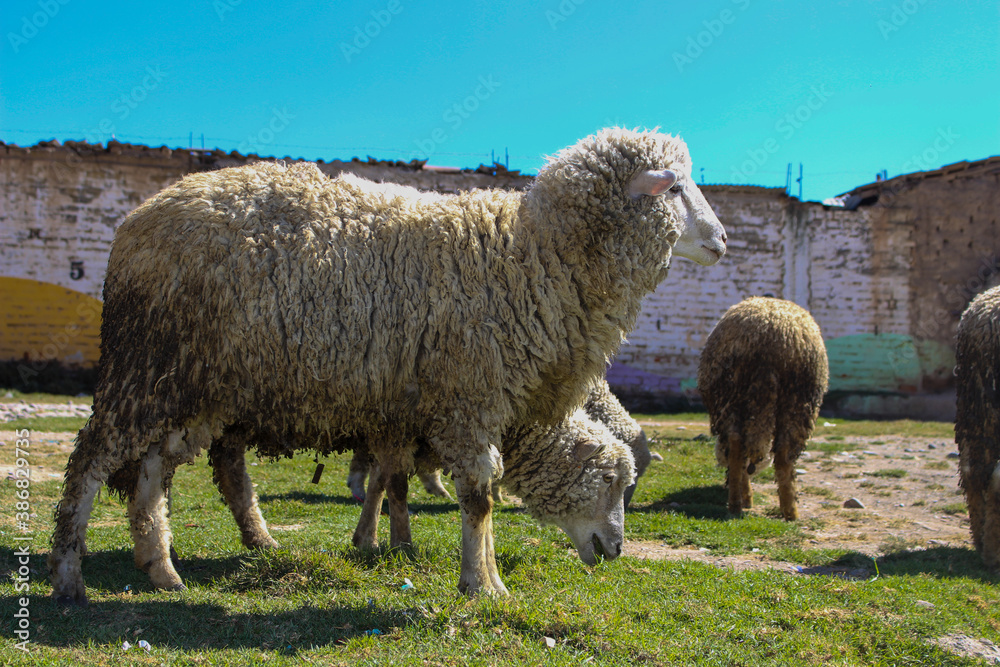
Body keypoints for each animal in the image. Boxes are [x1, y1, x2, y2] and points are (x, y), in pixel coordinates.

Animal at [49, 127, 727, 604]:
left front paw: (437, 561)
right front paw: (483, 586)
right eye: (674, 187)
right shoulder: (467, 397)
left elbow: (413, 485)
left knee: (152, 469)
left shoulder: (420, 411)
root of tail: (136, 221)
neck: (533, 253)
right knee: (92, 461)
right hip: (145, 365)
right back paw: (68, 576)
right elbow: (477, 495)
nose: (722, 240)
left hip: (196, 386)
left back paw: (161, 568)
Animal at [697, 297, 828, 521]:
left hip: (736, 397)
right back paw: (788, 511)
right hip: (797, 399)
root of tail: (772, 336)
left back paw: (740, 504)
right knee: (781, 454)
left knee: (739, 447)